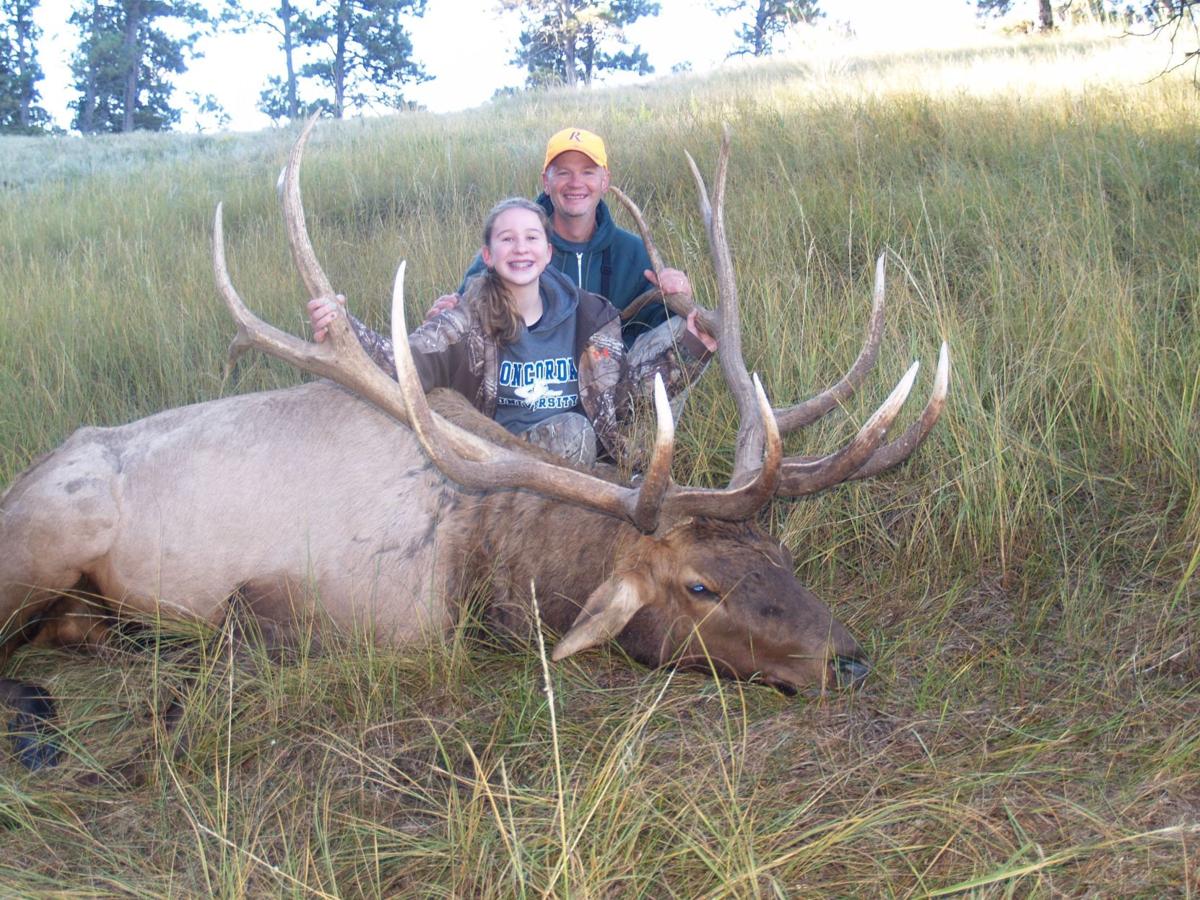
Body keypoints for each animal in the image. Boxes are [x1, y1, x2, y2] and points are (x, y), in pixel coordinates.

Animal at [0, 119, 948, 771]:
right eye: (699, 585)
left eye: (776, 551)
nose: (848, 659)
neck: (484, 563)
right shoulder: (296, 604)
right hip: (44, 541)